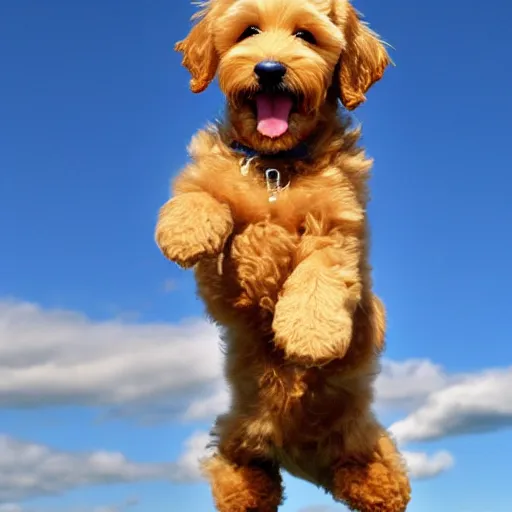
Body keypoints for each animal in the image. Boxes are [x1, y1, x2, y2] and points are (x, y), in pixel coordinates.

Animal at [156, 1, 412, 512]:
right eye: (248, 31)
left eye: (306, 36)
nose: (269, 69)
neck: (277, 167)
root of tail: (298, 456)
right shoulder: (220, 281)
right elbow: (203, 193)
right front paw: (185, 229)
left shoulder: (342, 232)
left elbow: (318, 274)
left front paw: (310, 335)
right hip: (235, 443)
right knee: (240, 473)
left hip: (367, 451)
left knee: (383, 480)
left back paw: (378, 487)